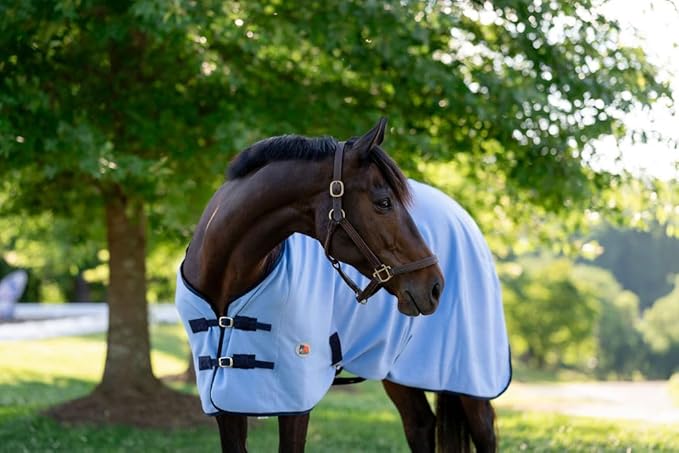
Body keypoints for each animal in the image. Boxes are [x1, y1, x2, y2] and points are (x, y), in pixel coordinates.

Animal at [177, 119, 508, 452]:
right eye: (384, 202)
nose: (435, 286)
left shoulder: (295, 397)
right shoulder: (225, 399)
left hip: (467, 376)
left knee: (483, 431)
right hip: (398, 369)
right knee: (420, 425)